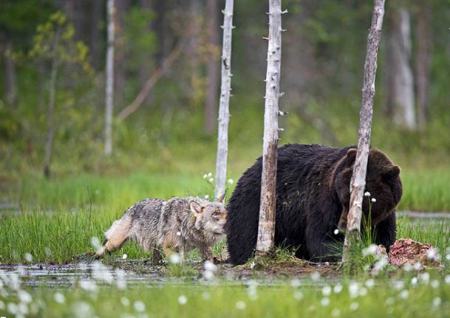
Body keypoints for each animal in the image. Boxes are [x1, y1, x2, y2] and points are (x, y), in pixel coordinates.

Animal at [227, 143, 402, 264]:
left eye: (363, 205)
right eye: (344, 199)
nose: (342, 228)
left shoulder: (384, 216)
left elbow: (386, 238)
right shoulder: (324, 201)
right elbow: (322, 238)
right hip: (255, 202)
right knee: (245, 234)